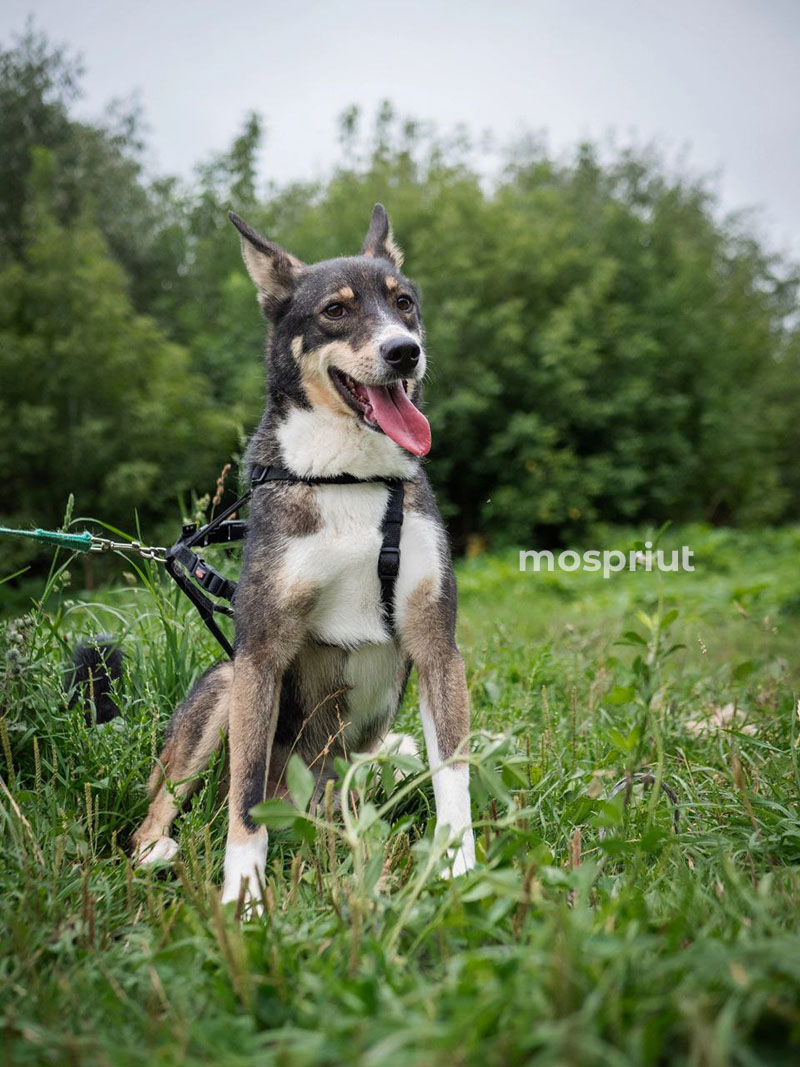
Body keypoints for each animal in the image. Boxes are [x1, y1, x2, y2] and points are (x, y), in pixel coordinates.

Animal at [131, 203, 475, 904]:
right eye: (335, 311)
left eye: (404, 303)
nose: (405, 352)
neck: (349, 479)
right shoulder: (260, 656)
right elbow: (244, 798)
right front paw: (245, 897)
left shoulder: (436, 644)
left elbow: (454, 775)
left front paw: (460, 871)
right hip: (223, 686)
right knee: (167, 804)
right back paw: (156, 847)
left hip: (368, 759)